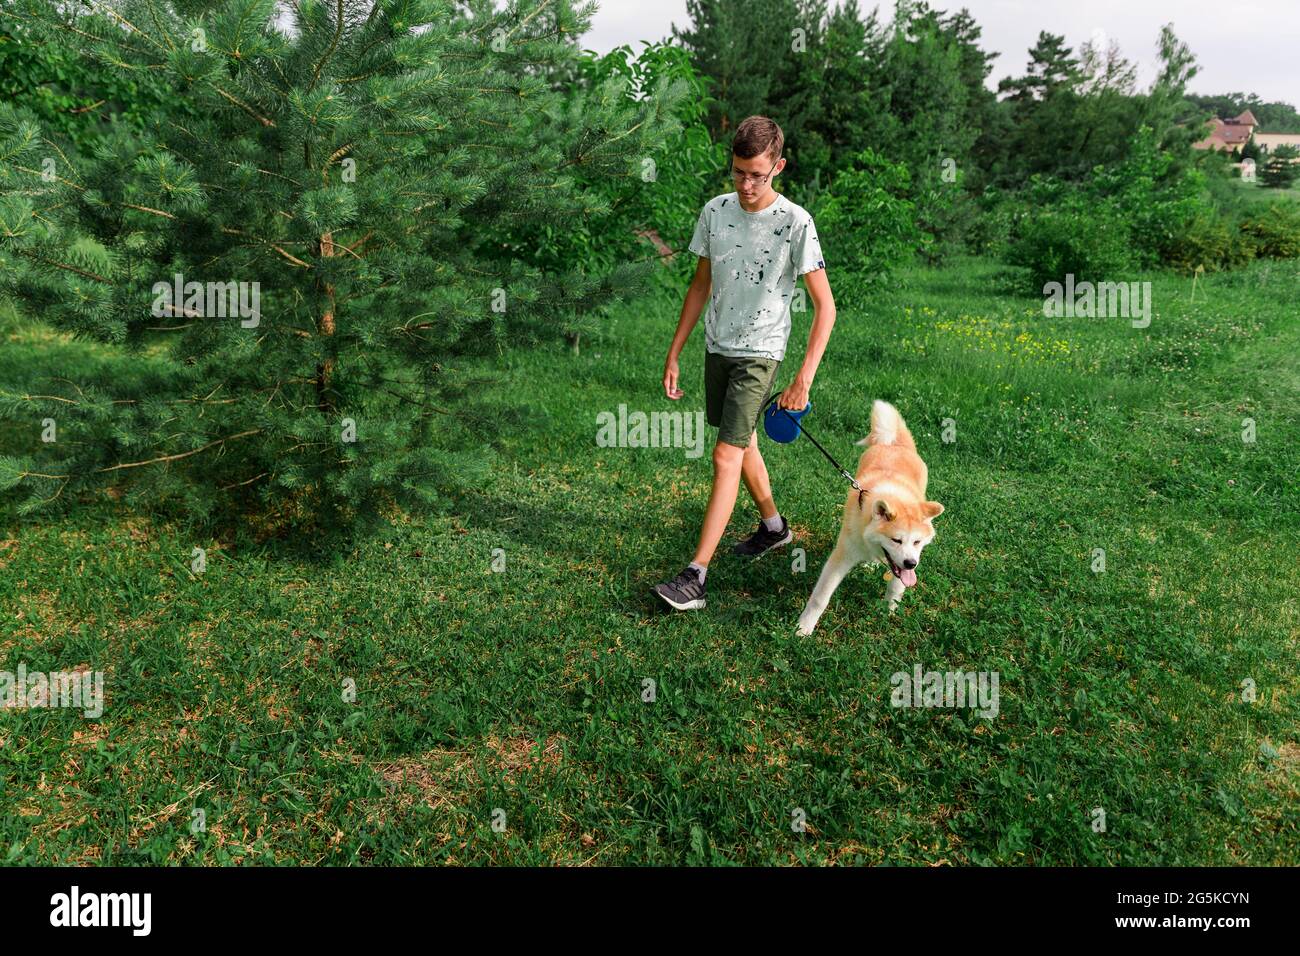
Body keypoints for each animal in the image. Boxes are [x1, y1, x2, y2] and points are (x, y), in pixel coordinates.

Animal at [790, 398, 946, 632]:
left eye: (917, 542)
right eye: (896, 540)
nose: (911, 563)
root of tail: (894, 444)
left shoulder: (903, 566)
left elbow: (896, 587)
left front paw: (888, 612)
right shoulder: (842, 556)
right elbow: (820, 598)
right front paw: (803, 628)